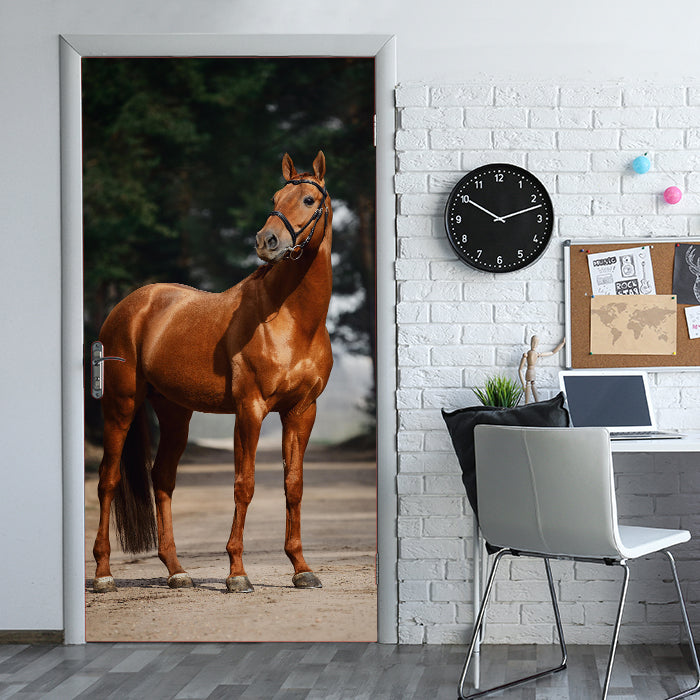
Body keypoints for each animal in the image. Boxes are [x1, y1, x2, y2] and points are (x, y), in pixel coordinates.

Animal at [92, 151, 333, 594]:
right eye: (275, 197)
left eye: (309, 200)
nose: (267, 241)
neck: (291, 319)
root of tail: (130, 305)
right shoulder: (250, 409)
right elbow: (245, 484)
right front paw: (237, 573)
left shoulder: (301, 411)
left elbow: (293, 485)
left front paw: (301, 568)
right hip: (121, 406)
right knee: (108, 480)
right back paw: (103, 574)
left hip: (174, 413)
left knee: (162, 479)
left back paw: (177, 571)